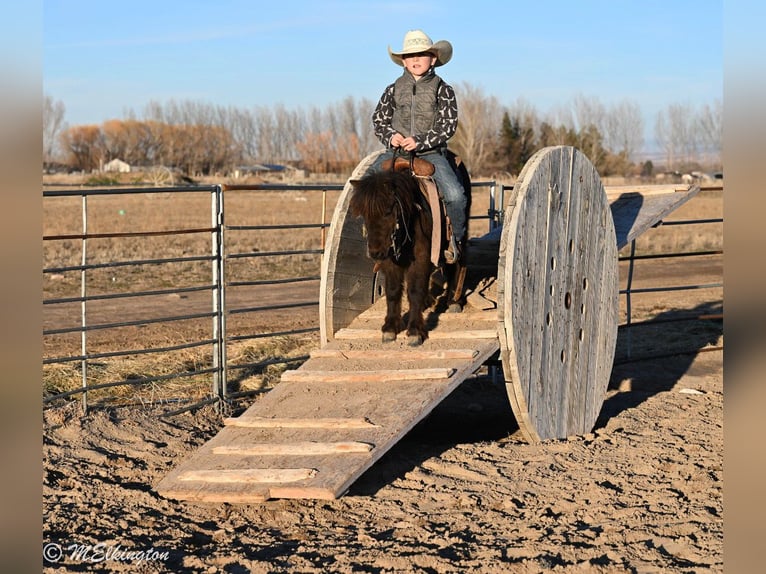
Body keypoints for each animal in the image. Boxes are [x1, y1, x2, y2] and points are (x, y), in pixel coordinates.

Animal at [348, 153, 471, 346]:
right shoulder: (390, 260)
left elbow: (415, 290)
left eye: (388, 210)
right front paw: (390, 328)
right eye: (364, 214)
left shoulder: (420, 258)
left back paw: (453, 301)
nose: (375, 253)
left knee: (456, 265)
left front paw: (415, 331)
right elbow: (393, 291)